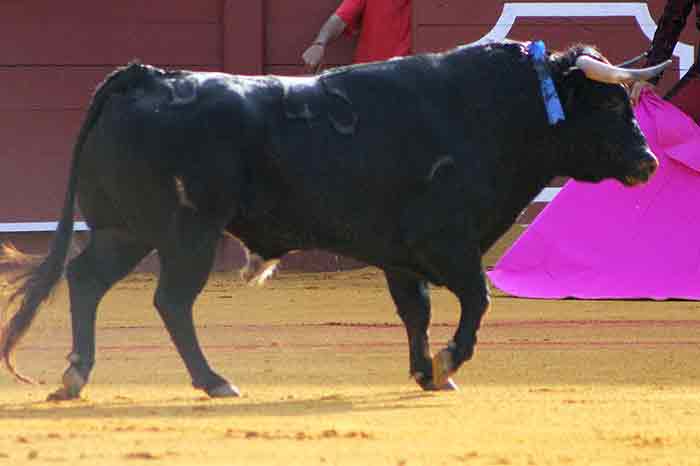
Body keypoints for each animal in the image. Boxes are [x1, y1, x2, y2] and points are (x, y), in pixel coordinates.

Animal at [0, 40, 664, 398]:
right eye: (610, 105)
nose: (648, 161)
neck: (497, 111)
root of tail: (146, 77)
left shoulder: (400, 254)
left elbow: (416, 311)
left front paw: (426, 371)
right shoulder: (448, 241)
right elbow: (477, 298)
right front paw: (448, 362)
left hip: (127, 230)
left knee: (85, 280)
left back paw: (76, 375)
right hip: (186, 233)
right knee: (170, 301)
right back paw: (213, 380)